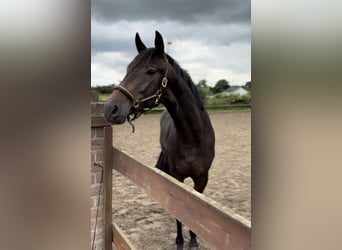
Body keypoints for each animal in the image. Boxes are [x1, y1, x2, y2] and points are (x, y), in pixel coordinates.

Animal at [103, 31, 214, 250]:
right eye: (128, 68)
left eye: (151, 71)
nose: (111, 108)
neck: (193, 138)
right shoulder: (176, 177)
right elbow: (180, 214)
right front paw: (179, 242)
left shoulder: (202, 178)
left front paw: (193, 241)